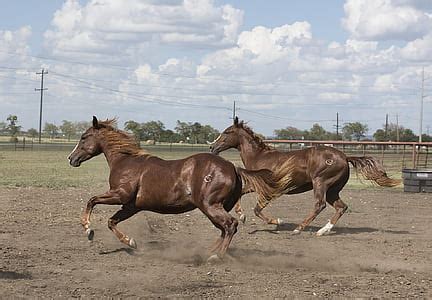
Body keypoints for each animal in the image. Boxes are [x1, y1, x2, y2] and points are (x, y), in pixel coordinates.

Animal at [67, 116, 276, 258]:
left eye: (84, 137)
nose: (71, 158)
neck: (125, 161)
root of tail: (233, 167)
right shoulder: (131, 206)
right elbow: (112, 221)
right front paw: (131, 242)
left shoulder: (120, 195)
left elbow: (92, 200)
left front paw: (88, 229)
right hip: (212, 208)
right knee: (224, 229)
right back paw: (208, 251)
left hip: (210, 206)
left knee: (230, 225)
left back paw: (216, 256)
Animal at [208, 117, 400, 237]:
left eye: (227, 132)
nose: (212, 148)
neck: (260, 157)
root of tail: (345, 157)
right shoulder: (258, 185)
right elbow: (241, 193)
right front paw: (242, 216)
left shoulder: (269, 189)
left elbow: (257, 209)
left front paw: (277, 221)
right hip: (333, 190)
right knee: (341, 207)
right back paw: (323, 231)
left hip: (321, 183)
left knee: (319, 205)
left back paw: (299, 229)